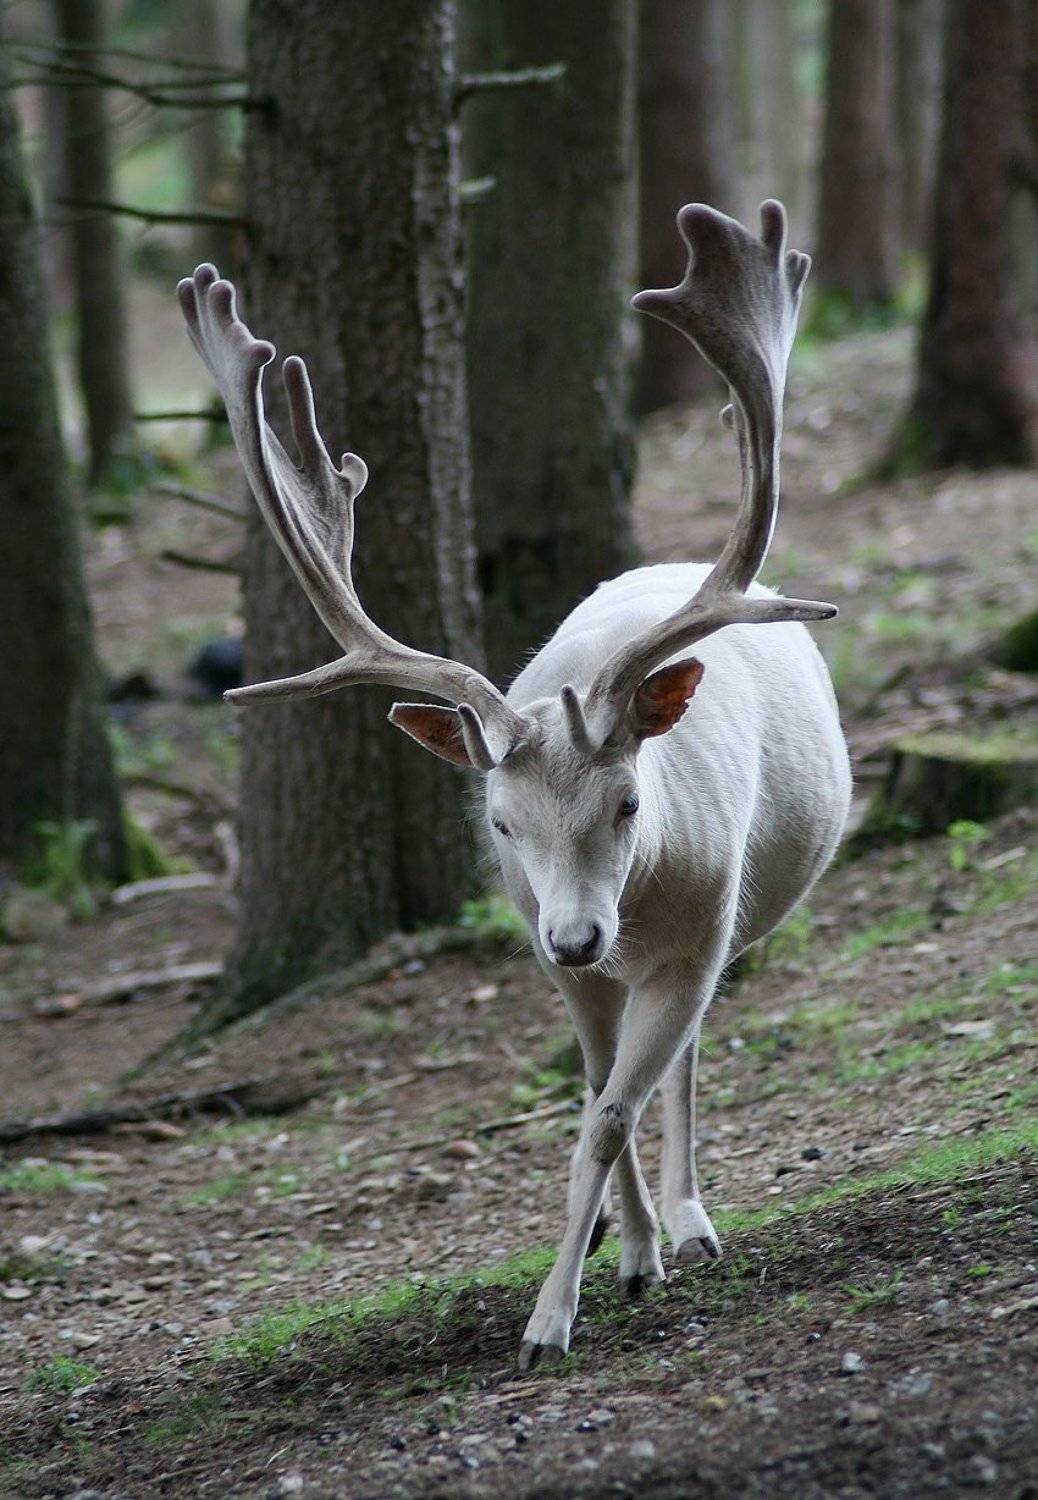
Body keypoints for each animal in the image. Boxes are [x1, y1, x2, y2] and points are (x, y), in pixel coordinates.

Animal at [177, 199, 851, 1368]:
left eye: (629, 802)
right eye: (498, 822)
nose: (579, 935)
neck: (632, 906)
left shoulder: (693, 934)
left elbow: (611, 1114)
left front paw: (551, 1320)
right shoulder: (554, 960)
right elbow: (590, 1095)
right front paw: (622, 1259)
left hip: (723, 929)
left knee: (686, 1056)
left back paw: (695, 1220)